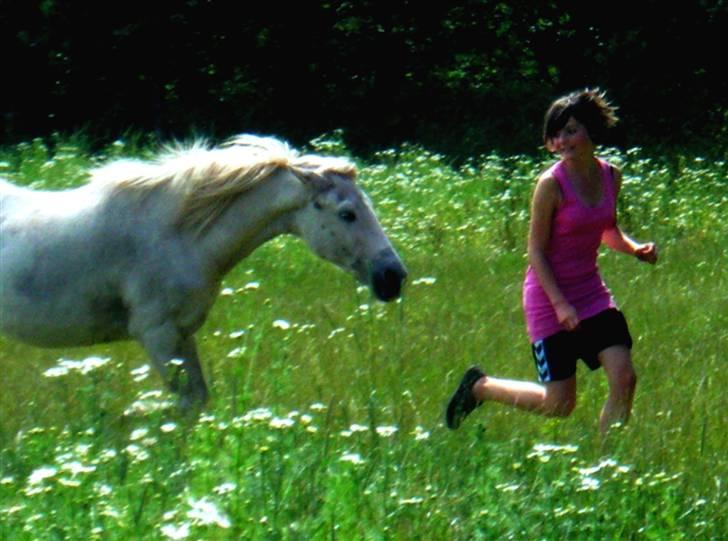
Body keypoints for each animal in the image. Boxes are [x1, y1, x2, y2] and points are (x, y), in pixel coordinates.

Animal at [0, 134, 407, 408]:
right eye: (347, 213)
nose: (393, 276)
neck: (179, 233)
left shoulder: (182, 334)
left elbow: (198, 400)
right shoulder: (158, 334)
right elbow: (186, 406)